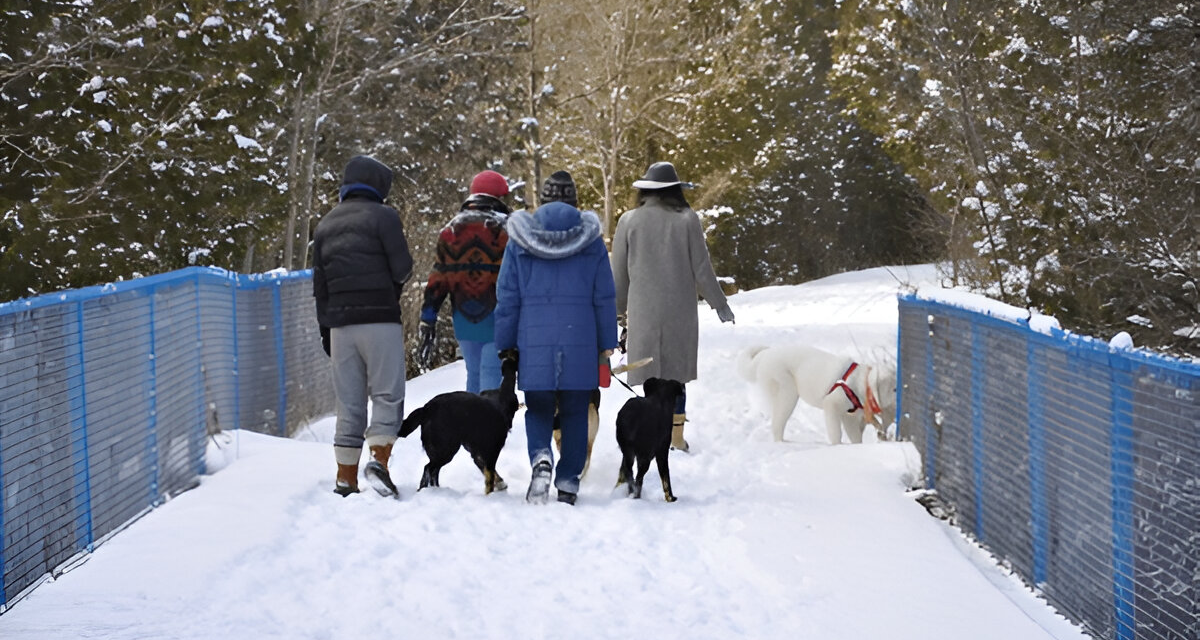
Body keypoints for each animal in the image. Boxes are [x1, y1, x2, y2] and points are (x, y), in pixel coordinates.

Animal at [400, 357, 518, 492]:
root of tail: (426, 409)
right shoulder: (491, 450)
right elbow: (490, 475)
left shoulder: (477, 453)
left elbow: (487, 471)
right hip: (445, 448)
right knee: (428, 468)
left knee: (433, 472)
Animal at [734, 343, 897, 444]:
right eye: (894, 389)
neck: (862, 383)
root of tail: (764, 355)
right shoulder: (831, 406)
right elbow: (836, 433)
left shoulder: (848, 417)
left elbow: (855, 437)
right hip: (787, 393)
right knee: (777, 424)